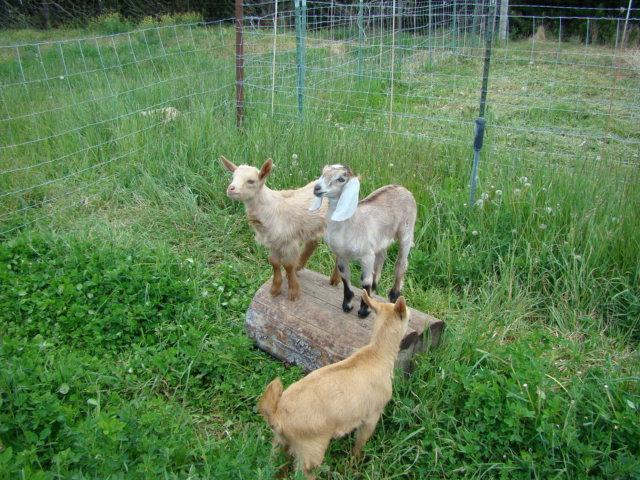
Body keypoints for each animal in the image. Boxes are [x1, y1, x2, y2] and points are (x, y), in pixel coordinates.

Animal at [220, 158, 340, 300]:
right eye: (233, 177)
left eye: (251, 181)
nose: (231, 189)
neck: (270, 208)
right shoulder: (273, 241)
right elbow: (274, 262)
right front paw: (275, 289)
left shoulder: (289, 241)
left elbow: (288, 265)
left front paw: (293, 291)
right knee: (312, 243)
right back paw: (300, 266)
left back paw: (335, 279)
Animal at [258, 290, 412, 478]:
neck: (377, 355)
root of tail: (277, 416)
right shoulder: (373, 414)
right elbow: (360, 443)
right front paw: (356, 465)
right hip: (311, 451)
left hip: (279, 442)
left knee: (274, 466)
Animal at [308, 165, 418, 318]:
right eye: (323, 172)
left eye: (341, 179)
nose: (317, 188)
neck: (351, 223)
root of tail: (402, 188)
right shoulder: (341, 255)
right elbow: (345, 277)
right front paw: (347, 305)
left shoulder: (367, 256)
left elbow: (365, 282)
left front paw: (364, 310)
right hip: (380, 239)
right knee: (381, 258)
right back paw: (375, 288)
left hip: (407, 231)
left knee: (401, 263)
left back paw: (394, 295)